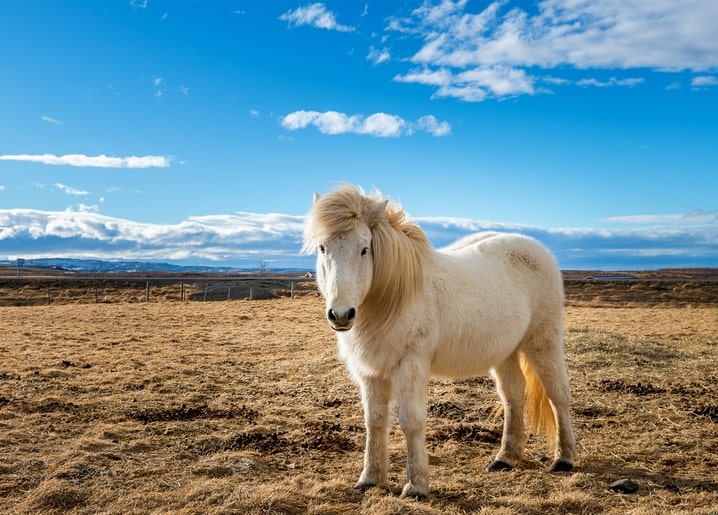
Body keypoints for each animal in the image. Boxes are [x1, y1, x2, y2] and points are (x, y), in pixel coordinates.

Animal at [304, 186, 580, 500]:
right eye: (322, 248)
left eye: (364, 248)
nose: (341, 314)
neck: (394, 297)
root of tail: (538, 249)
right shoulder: (370, 372)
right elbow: (374, 421)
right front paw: (370, 479)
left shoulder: (410, 365)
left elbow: (411, 421)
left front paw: (416, 486)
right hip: (505, 352)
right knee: (513, 395)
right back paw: (505, 459)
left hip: (543, 342)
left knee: (558, 394)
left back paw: (564, 459)